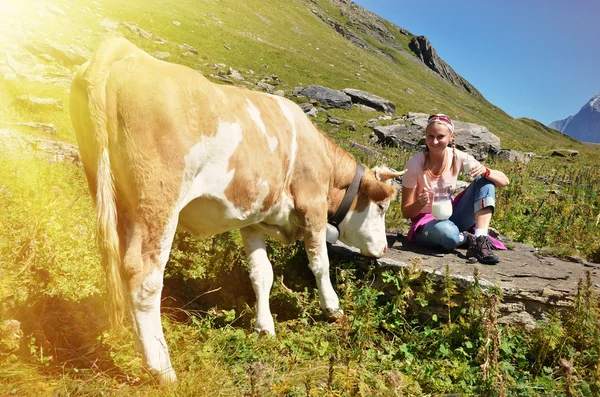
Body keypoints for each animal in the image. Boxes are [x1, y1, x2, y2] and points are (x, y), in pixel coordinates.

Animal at [70, 37, 406, 384]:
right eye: (382, 206)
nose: (383, 248)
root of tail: (124, 52)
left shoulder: (254, 219)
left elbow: (262, 274)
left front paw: (264, 327)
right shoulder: (311, 205)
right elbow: (320, 264)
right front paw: (333, 308)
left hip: (109, 192)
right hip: (157, 199)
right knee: (143, 274)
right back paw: (162, 369)